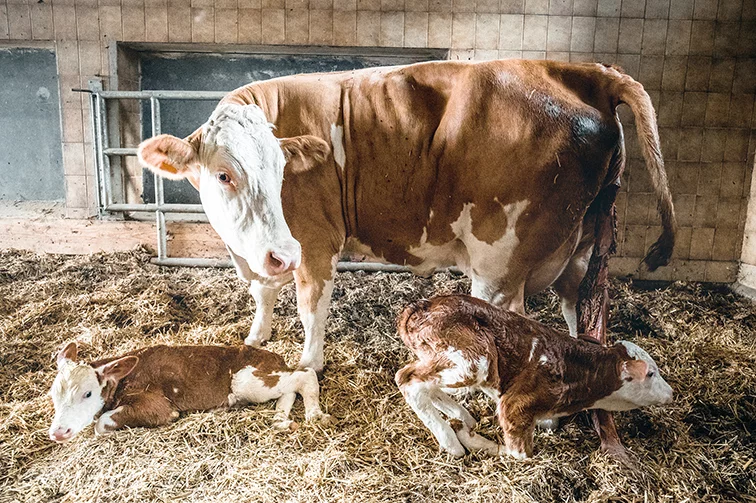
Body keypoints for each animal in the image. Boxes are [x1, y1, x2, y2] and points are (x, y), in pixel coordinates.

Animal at [48, 342, 331, 442]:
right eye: (53, 395)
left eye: (87, 394)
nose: (57, 432)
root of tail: (275, 356)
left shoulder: (158, 405)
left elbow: (102, 422)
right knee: (289, 388)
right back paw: (282, 421)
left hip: (246, 380)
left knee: (305, 375)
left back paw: (314, 415)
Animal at [137, 59, 676, 373]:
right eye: (223, 175)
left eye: (282, 170)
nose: (282, 254)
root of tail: (583, 71)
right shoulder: (255, 252)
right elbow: (263, 292)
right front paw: (256, 337)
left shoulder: (313, 242)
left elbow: (311, 309)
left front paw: (308, 365)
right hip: (582, 248)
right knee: (578, 315)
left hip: (500, 262)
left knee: (512, 320)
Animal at [394, 294, 674, 458]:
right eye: (651, 373)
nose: (670, 392)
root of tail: (420, 305)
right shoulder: (515, 406)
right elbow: (519, 455)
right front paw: (467, 438)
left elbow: (548, 425)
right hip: (473, 361)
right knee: (407, 378)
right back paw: (451, 441)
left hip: (451, 361)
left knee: (425, 382)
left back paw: (463, 417)